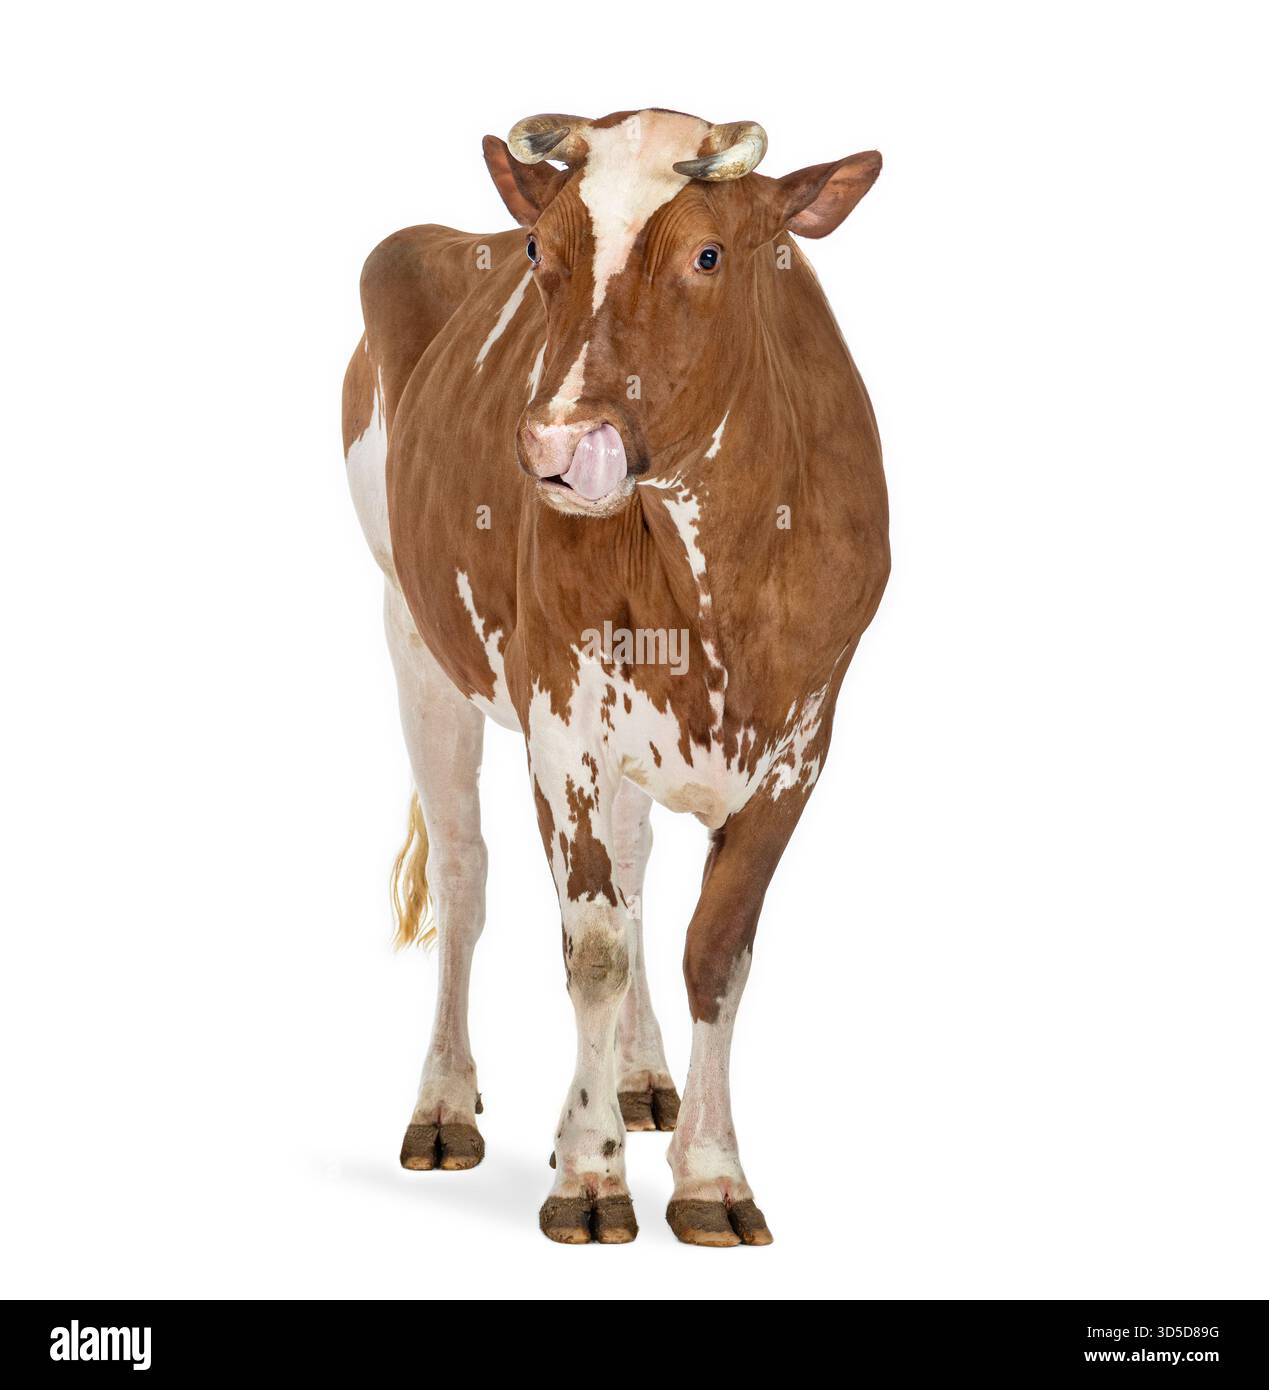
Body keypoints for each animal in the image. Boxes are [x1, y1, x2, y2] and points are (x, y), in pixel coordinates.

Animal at [341, 109, 888, 1246]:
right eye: (539, 251)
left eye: (709, 255)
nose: (559, 445)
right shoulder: (563, 713)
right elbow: (592, 946)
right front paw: (589, 1174)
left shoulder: (802, 742)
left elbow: (712, 951)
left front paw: (710, 1176)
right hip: (413, 635)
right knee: (465, 874)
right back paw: (444, 1103)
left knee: (633, 872)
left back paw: (638, 1080)